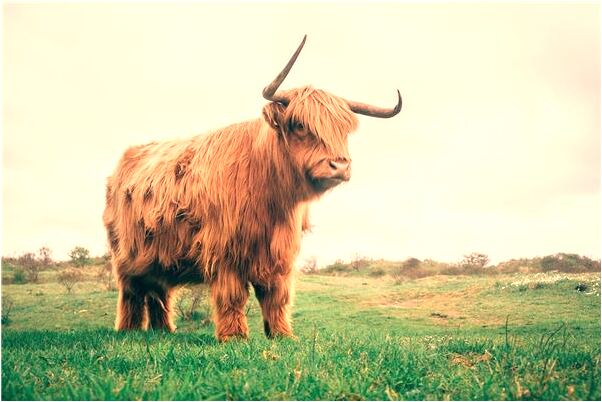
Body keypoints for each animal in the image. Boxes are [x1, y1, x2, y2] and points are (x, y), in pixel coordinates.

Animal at [103, 36, 400, 340]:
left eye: (343, 130)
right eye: (299, 125)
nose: (339, 166)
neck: (272, 198)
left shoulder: (280, 253)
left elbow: (276, 296)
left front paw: (282, 334)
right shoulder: (224, 250)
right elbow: (233, 295)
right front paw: (234, 337)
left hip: (159, 256)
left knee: (159, 291)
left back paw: (163, 331)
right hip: (126, 255)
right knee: (132, 292)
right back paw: (128, 330)